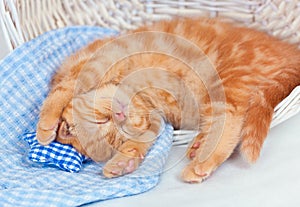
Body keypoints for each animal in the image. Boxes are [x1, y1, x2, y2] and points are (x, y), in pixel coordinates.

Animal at [37, 17, 300, 183]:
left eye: (101, 120)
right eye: (115, 131)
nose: (119, 114)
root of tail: (292, 52)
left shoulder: (99, 59)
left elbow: (63, 89)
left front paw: (45, 126)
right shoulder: (155, 120)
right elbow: (141, 141)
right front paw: (123, 163)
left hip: (227, 81)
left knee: (231, 121)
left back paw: (202, 162)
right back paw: (198, 146)